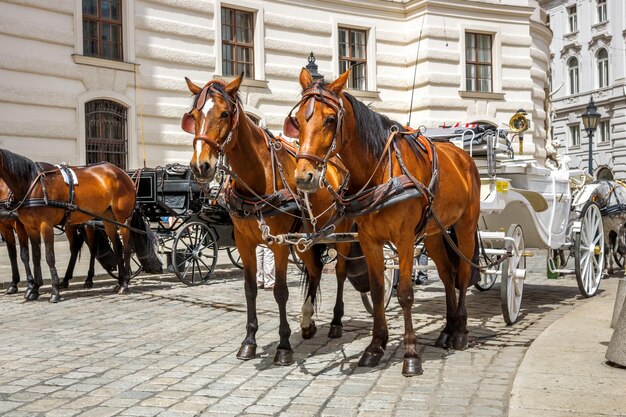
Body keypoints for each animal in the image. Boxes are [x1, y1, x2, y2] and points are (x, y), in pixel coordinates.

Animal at [0, 148, 158, 300]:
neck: (32, 184)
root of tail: (125, 175)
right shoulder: (29, 227)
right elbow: (34, 257)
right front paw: (34, 289)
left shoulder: (45, 225)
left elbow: (48, 257)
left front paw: (54, 291)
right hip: (106, 219)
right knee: (116, 247)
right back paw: (118, 282)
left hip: (122, 219)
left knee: (126, 248)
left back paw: (124, 283)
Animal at [183, 75, 354, 364]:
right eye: (194, 115)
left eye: (225, 113)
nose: (200, 166)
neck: (257, 176)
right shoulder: (245, 242)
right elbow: (250, 289)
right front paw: (249, 341)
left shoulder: (280, 244)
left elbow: (280, 291)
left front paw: (284, 346)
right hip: (306, 240)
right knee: (316, 270)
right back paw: (307, 322)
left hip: (339, 235)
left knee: (340, 273)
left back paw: (336, 322)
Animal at [290, 68, 480, 374]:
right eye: (296, 120)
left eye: (330, 119)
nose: (303, 177)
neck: (380, 172)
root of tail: (464, 156)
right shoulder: (370, 241)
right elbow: (379, 291)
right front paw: (375, 346)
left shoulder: (404, 240)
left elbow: (405, 293)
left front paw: (411, 354)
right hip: (434, 234)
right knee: (447, 275)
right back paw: (447, 330)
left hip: (465, 226)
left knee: (462, 273)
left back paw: (460, 332)